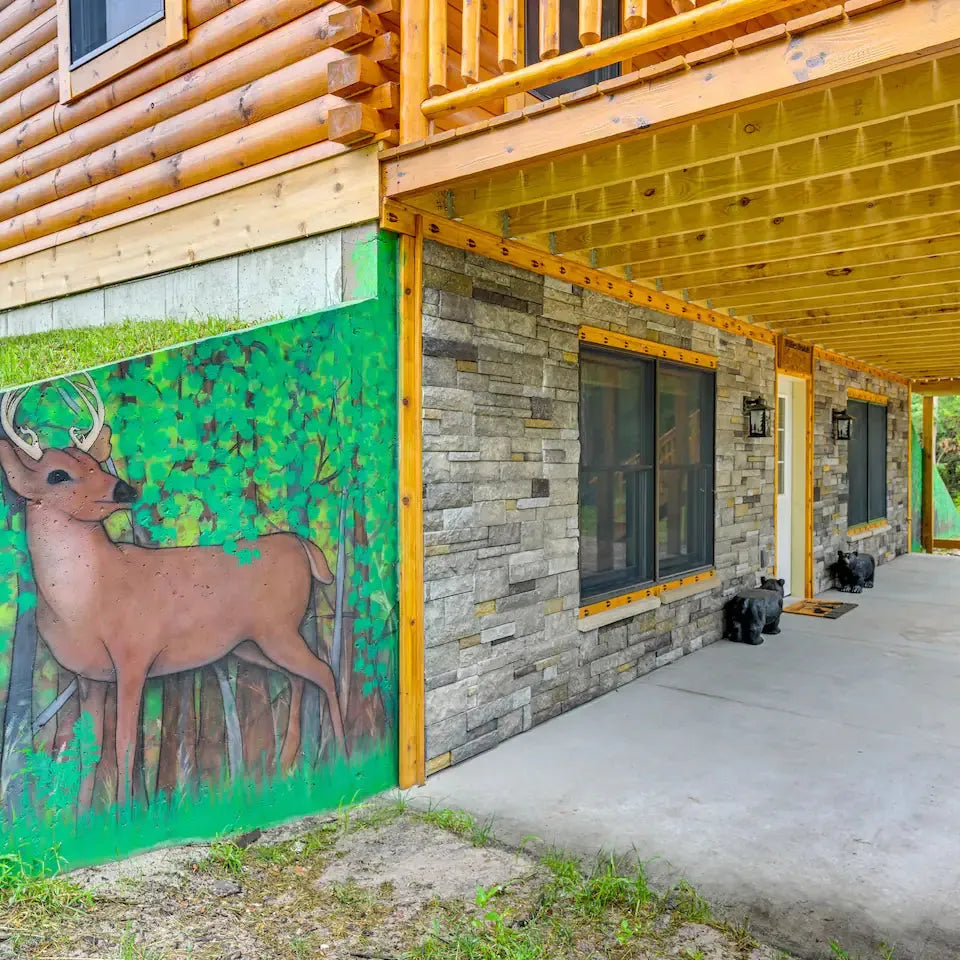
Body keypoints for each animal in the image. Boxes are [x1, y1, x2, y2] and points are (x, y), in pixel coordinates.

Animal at [0, 376, 344, 808]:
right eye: (57, 475)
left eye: (95, 464)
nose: (125, 490)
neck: (86, 600)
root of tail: (301, 544)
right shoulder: (88, 675)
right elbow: (90, 751)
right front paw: (86, 820)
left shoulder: (134, 654)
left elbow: (125, 743)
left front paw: (126, 816)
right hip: (250, 643)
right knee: (299, 678)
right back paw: (286, 768)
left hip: (278, 628)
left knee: (325, 672)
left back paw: (342, 758)